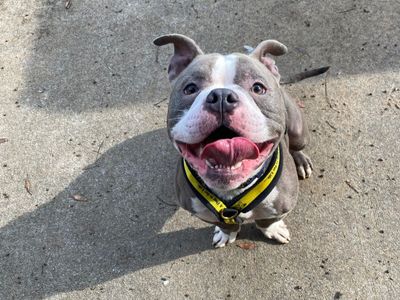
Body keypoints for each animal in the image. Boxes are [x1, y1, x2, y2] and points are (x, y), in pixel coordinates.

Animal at [153, 34, 322, 247]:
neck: (232, 191)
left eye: (258, 88)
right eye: (190, 88)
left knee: (297, 145)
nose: (221, 96)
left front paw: (273, 229)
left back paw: (301, 161)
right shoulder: (204, 214)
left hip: (298, 132)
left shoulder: (281, 206)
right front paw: (227, 233)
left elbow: (267, 220)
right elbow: (225, 224)